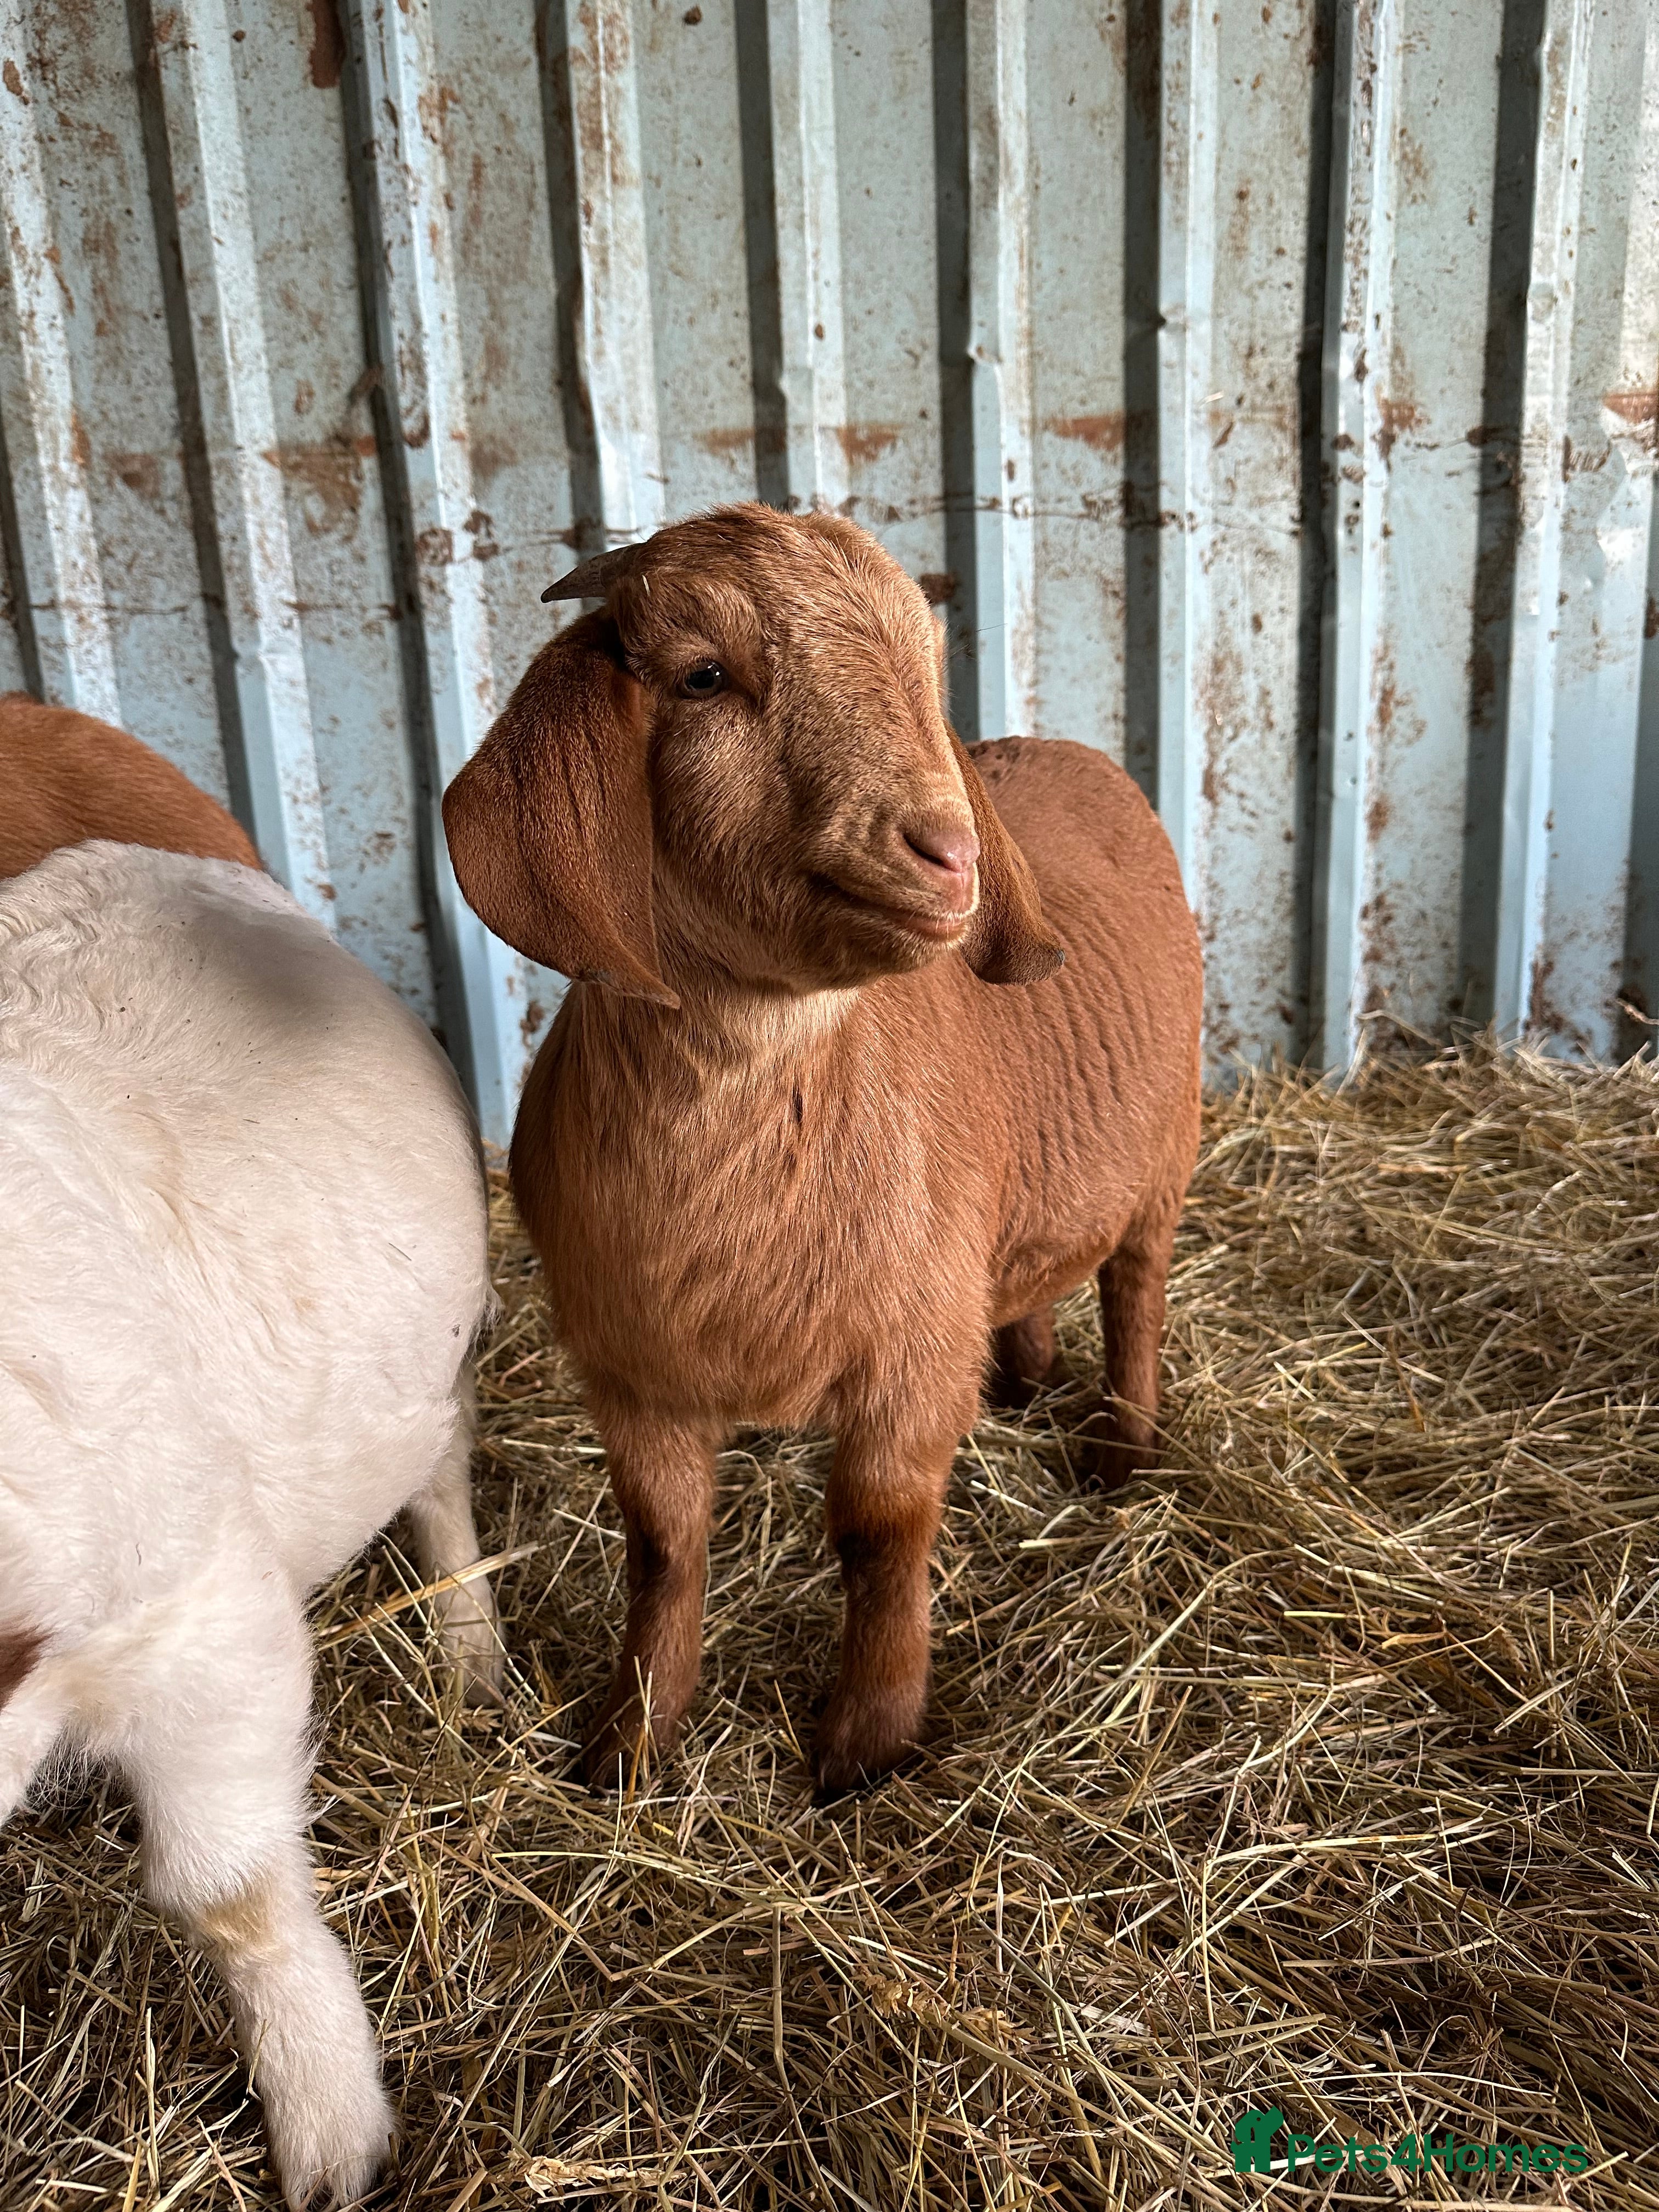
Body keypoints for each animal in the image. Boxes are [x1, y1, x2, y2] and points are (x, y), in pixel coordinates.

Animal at [0, 840, 499, 2208]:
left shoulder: (206, 1621)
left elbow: (231, 1894)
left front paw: (336, 2142)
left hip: (429, 1376)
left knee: (445, 1484)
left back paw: (473, 1658)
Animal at [443, 503, 1202, 1795]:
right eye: (703, 676)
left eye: (921, 675)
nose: (950, 852)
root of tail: (1066, 749)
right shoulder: (628, 1374)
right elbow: (662, 1546)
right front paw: (630, 1741)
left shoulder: (906, 1356)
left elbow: (878, 1533)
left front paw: (866, 1743)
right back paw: (1024, 1376)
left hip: (1166, 1153)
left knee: (1137, 1288)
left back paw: (1120, 1451)